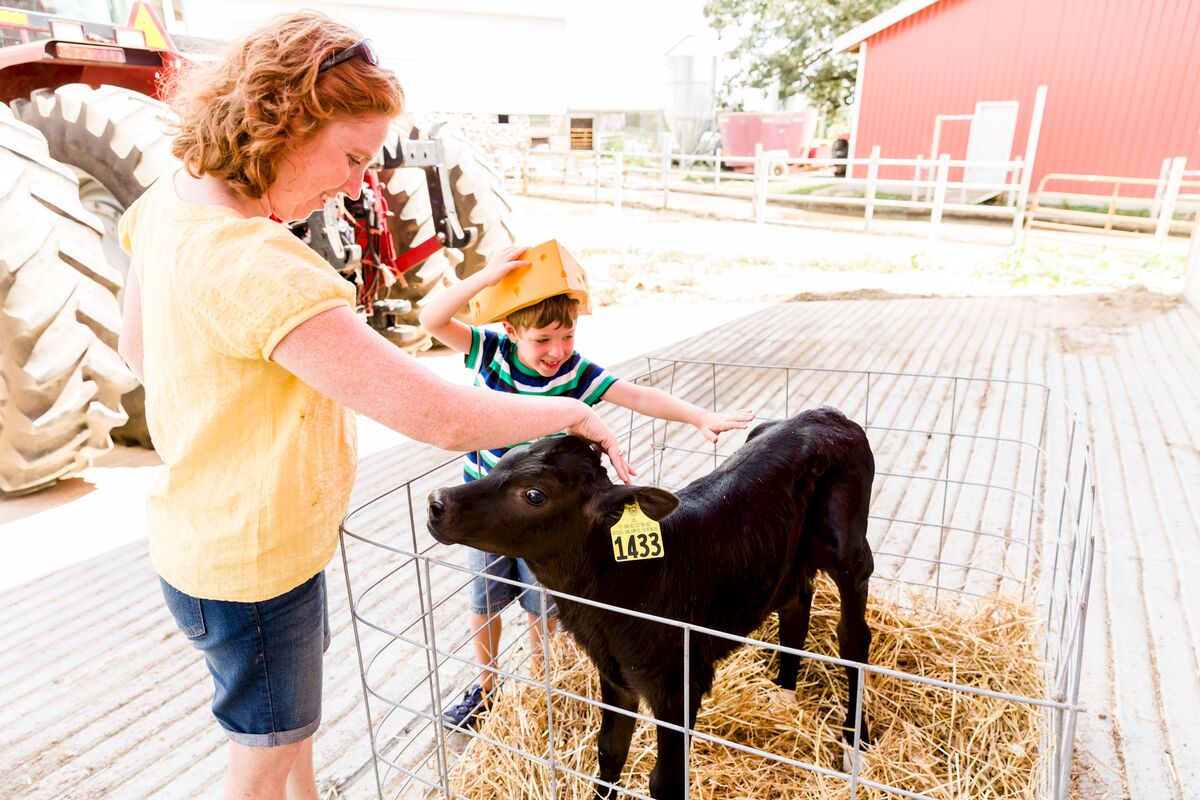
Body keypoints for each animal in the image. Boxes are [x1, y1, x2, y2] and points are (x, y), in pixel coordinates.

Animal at [427, 407, 875, 800]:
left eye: (534, 494)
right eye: (502, 460)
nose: (437, 502)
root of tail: (824, 415)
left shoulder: (679, 683)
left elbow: (665, 782)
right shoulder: (614, 674)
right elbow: (609, 751)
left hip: (849, 551)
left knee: (854, 637)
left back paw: (857, 742)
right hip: (787, 558)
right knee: (796, 605)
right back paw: (783, 694)